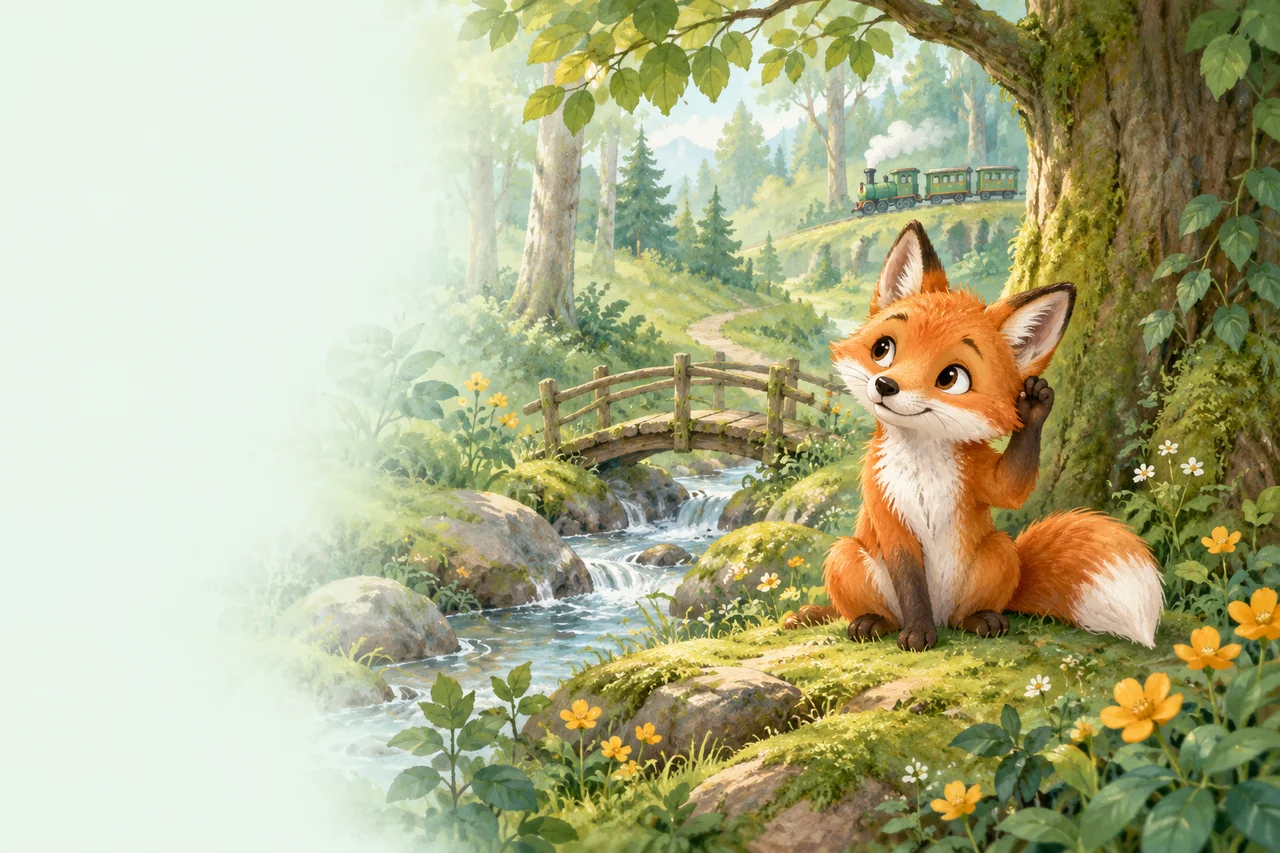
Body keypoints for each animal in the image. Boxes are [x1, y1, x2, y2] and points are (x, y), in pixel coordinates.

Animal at [791, 221, 1163, 650]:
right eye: (883, 349)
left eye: (951, 378)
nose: (885, 385)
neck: (923, 463)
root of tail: (944, 612)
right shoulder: (886, 507)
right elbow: (910, 585)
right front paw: (917, 633)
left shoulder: (980, 475)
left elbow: (1010, 490)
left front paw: (1034, 407)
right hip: (845, 556)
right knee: (875, 604)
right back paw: (873, 622)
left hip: (999, 552)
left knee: (968, 612)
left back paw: (980, 619)